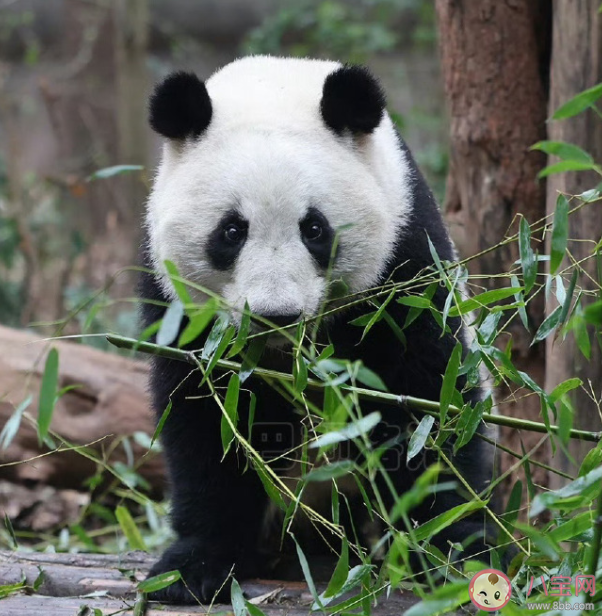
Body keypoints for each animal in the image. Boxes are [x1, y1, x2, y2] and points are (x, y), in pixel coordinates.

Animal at [141, 55, 496, 604]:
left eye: (314, 229)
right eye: (231, 231)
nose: (276, 315)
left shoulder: (404, 261)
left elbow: (427, 397)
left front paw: (450, 551)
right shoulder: (180, 307)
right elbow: (205, 419)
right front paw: (193, 568)